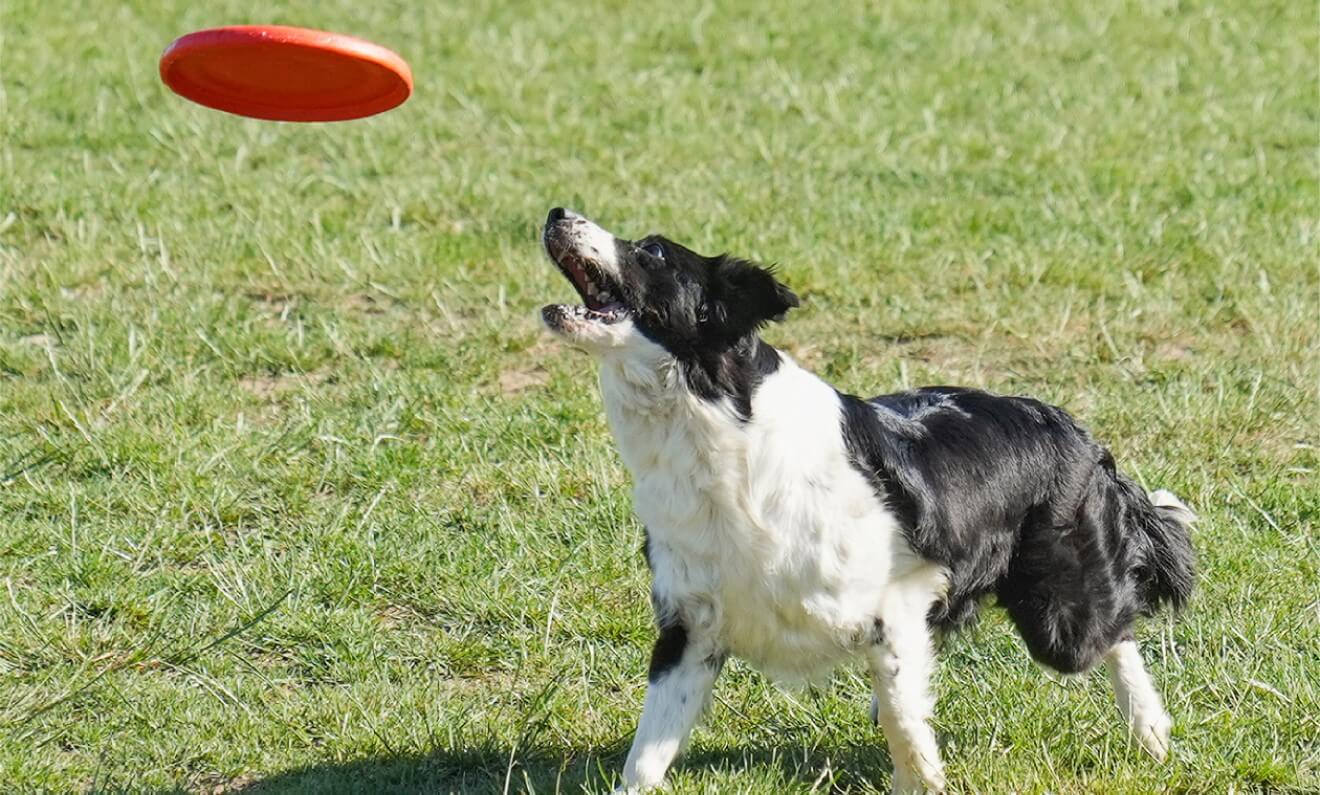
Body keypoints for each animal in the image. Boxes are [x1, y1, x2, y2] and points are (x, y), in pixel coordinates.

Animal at [535, 207, 1198, 787]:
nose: (556, 212)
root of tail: (1076, 431)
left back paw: (1151, 732)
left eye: (651, 252)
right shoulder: (690, 627)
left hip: (1060, 613)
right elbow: (646, 756)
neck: (715, 428)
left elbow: (908, 726)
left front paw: (922, 778)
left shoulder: (893, 606)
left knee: (1118, 631)